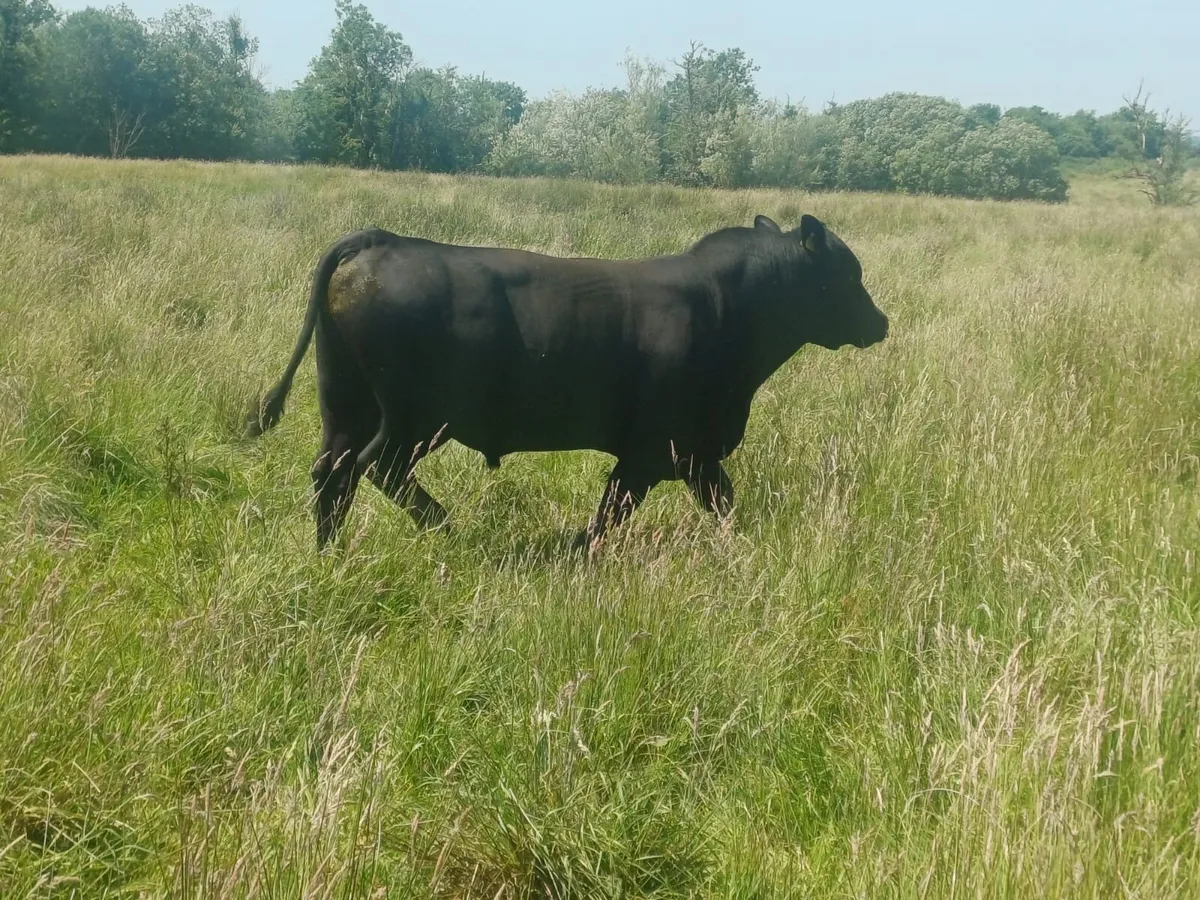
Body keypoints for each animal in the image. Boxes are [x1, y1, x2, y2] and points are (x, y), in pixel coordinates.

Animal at [244, 213, 888, 551]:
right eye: (848, 274)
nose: (881, 322)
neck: (726, 308)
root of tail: (379, 238)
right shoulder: (656, 449)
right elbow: (614, 510)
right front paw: (578, 551)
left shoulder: (694, 452)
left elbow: (720, 502)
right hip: (414, 417)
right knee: (375, 468)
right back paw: (450, 530)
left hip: (346, 402)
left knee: (332, 472)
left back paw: (329, 550)